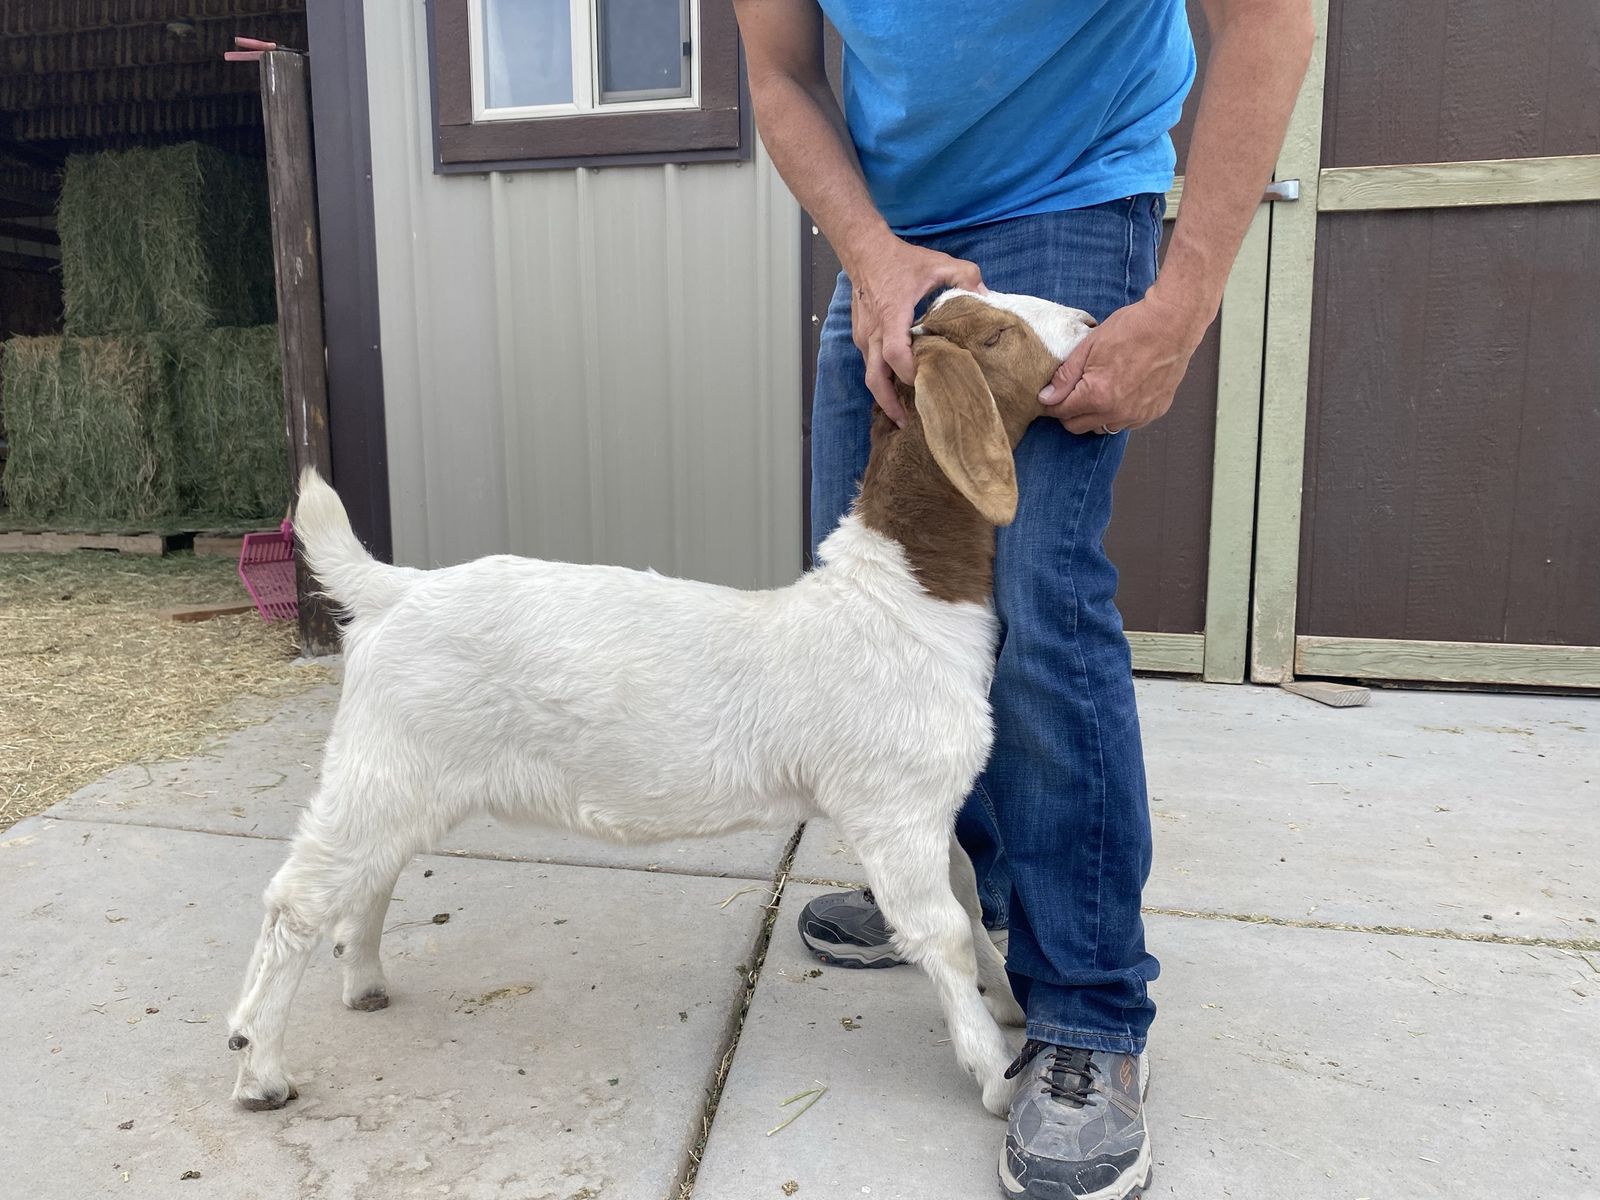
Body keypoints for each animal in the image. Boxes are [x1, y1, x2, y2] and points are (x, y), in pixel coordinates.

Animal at [226, 289, 1096, 1118]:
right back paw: (259, 1066)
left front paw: (1016, 1007)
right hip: (382, 761)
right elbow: (944, 932)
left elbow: (972, 901)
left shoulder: (929, 807)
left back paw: (363, 982)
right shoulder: (894, 809)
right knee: (297, 900)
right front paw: (993, 1076)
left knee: (373, 872)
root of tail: (395, 590)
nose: (1089, 322)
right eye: (997, 336)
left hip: (409, 771)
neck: (903, 597)